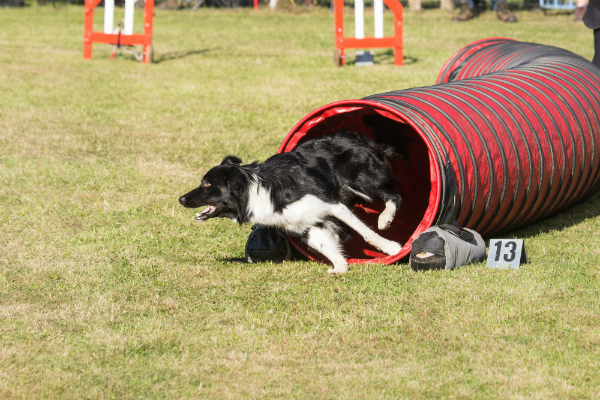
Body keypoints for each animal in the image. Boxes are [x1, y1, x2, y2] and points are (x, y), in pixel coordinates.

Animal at [178, 130, 404, 274]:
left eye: (207, 184)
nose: (181, 199)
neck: (255, 193)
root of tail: (354, 135)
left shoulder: (332, 204)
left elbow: (366, 233)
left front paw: (392, 248)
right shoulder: (301, 224)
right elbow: (323, 244)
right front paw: (340, 267)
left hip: (357, 179)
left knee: (394, 195)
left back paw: (385, 219)